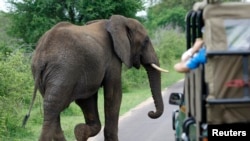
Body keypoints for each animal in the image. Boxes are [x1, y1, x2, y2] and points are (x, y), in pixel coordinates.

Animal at [23, 14, 168, 141]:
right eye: (146, 41)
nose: (150, 113)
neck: (116, 22)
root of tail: (41, 54)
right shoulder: (112, 59)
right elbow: (113, 94)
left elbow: (87, 100)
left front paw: (79, 132)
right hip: (63, 70)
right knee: (52, 108)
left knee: (52, 110)